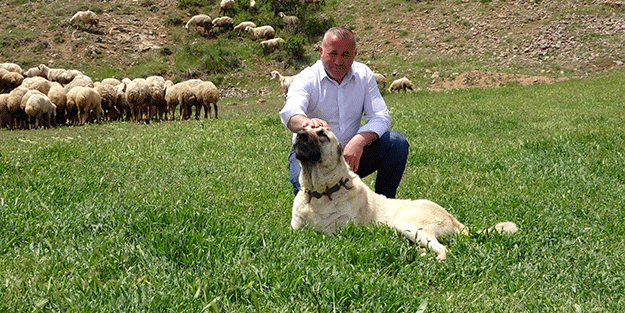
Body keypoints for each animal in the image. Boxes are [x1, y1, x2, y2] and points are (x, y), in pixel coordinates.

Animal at [292, 126, 516, 260]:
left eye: (322, 134)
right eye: (303, 129)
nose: (300, 135)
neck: (318, 194)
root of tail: (453, 218)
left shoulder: (336, 234)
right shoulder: (295, 231)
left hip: (406, 225)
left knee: (445, 251)